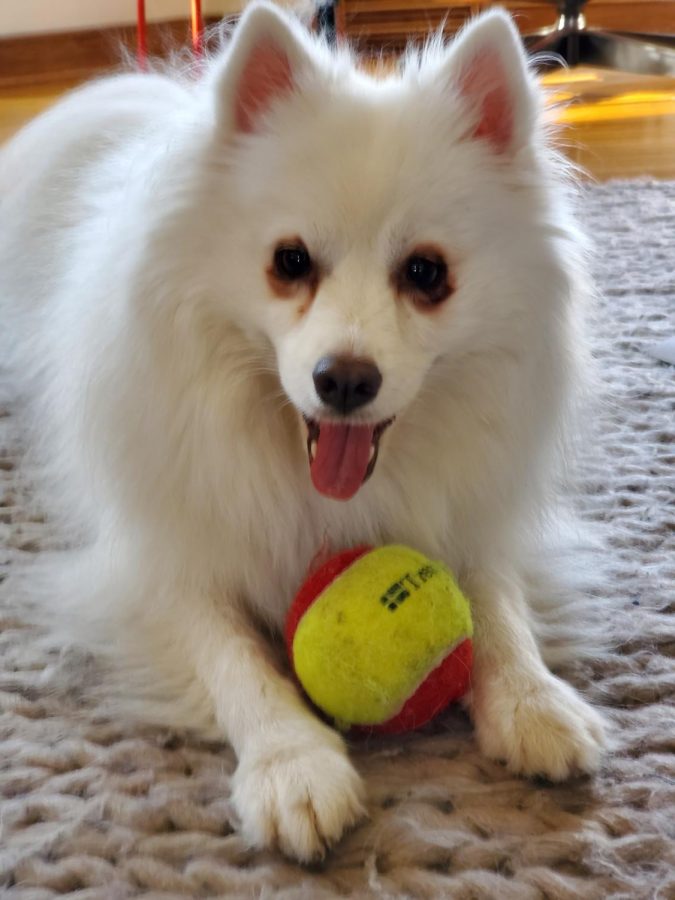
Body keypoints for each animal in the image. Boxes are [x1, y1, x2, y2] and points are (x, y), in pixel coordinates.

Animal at [0, 0, 608, 864]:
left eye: (426, 274)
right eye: (288, 262)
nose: (344, 379)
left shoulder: (475, 521)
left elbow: (497, 607)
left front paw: (534, 703)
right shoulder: (162, 563)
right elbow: (236, 659)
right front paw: (291, 768)